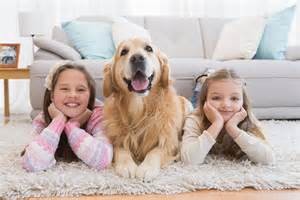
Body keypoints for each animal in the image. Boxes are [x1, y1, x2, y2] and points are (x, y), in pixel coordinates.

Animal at [103, 37, 191, 181]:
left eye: (149, 48)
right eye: (124, 52)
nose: (137, 58)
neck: (140, 107)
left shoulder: (171, 143)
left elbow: (155, 152)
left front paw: (146, 168)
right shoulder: (116, 139)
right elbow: (121, 149)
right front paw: (127, 165)